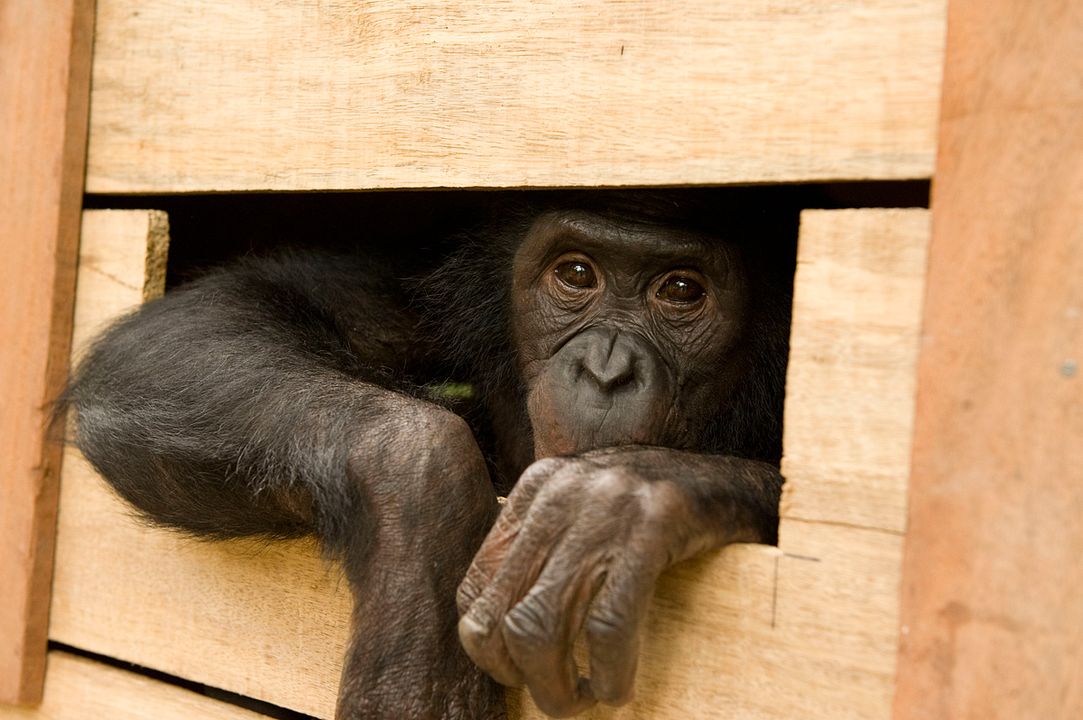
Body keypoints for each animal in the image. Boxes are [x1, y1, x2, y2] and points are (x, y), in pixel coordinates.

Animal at [63, 192, 792, 718]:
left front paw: (616, 496)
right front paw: (425, 511)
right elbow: (189, 330)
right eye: (576, 274)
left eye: (681, 292)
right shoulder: (412, 291)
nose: (606, 370)